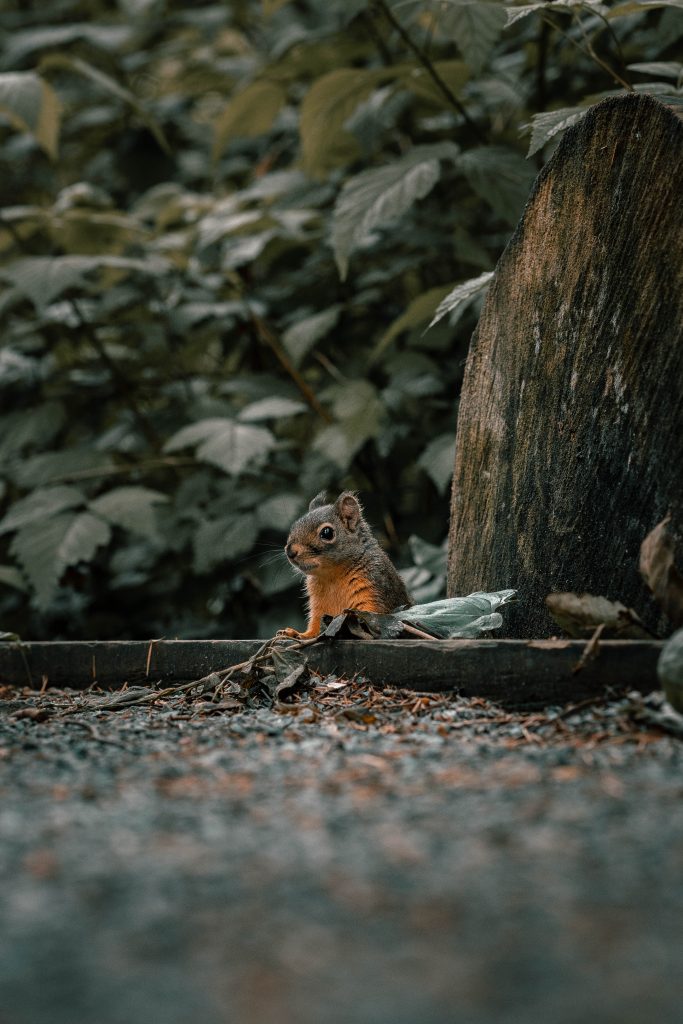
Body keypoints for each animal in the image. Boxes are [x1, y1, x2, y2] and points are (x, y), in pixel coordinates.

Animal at [278, 489, 411, 638]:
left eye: (327, 533)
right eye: (294, 527)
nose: (290, 552)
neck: (332, 576)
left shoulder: (373, 588)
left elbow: (368, 616)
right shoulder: (318, 605)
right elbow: (315, 626)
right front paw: (298, 634)